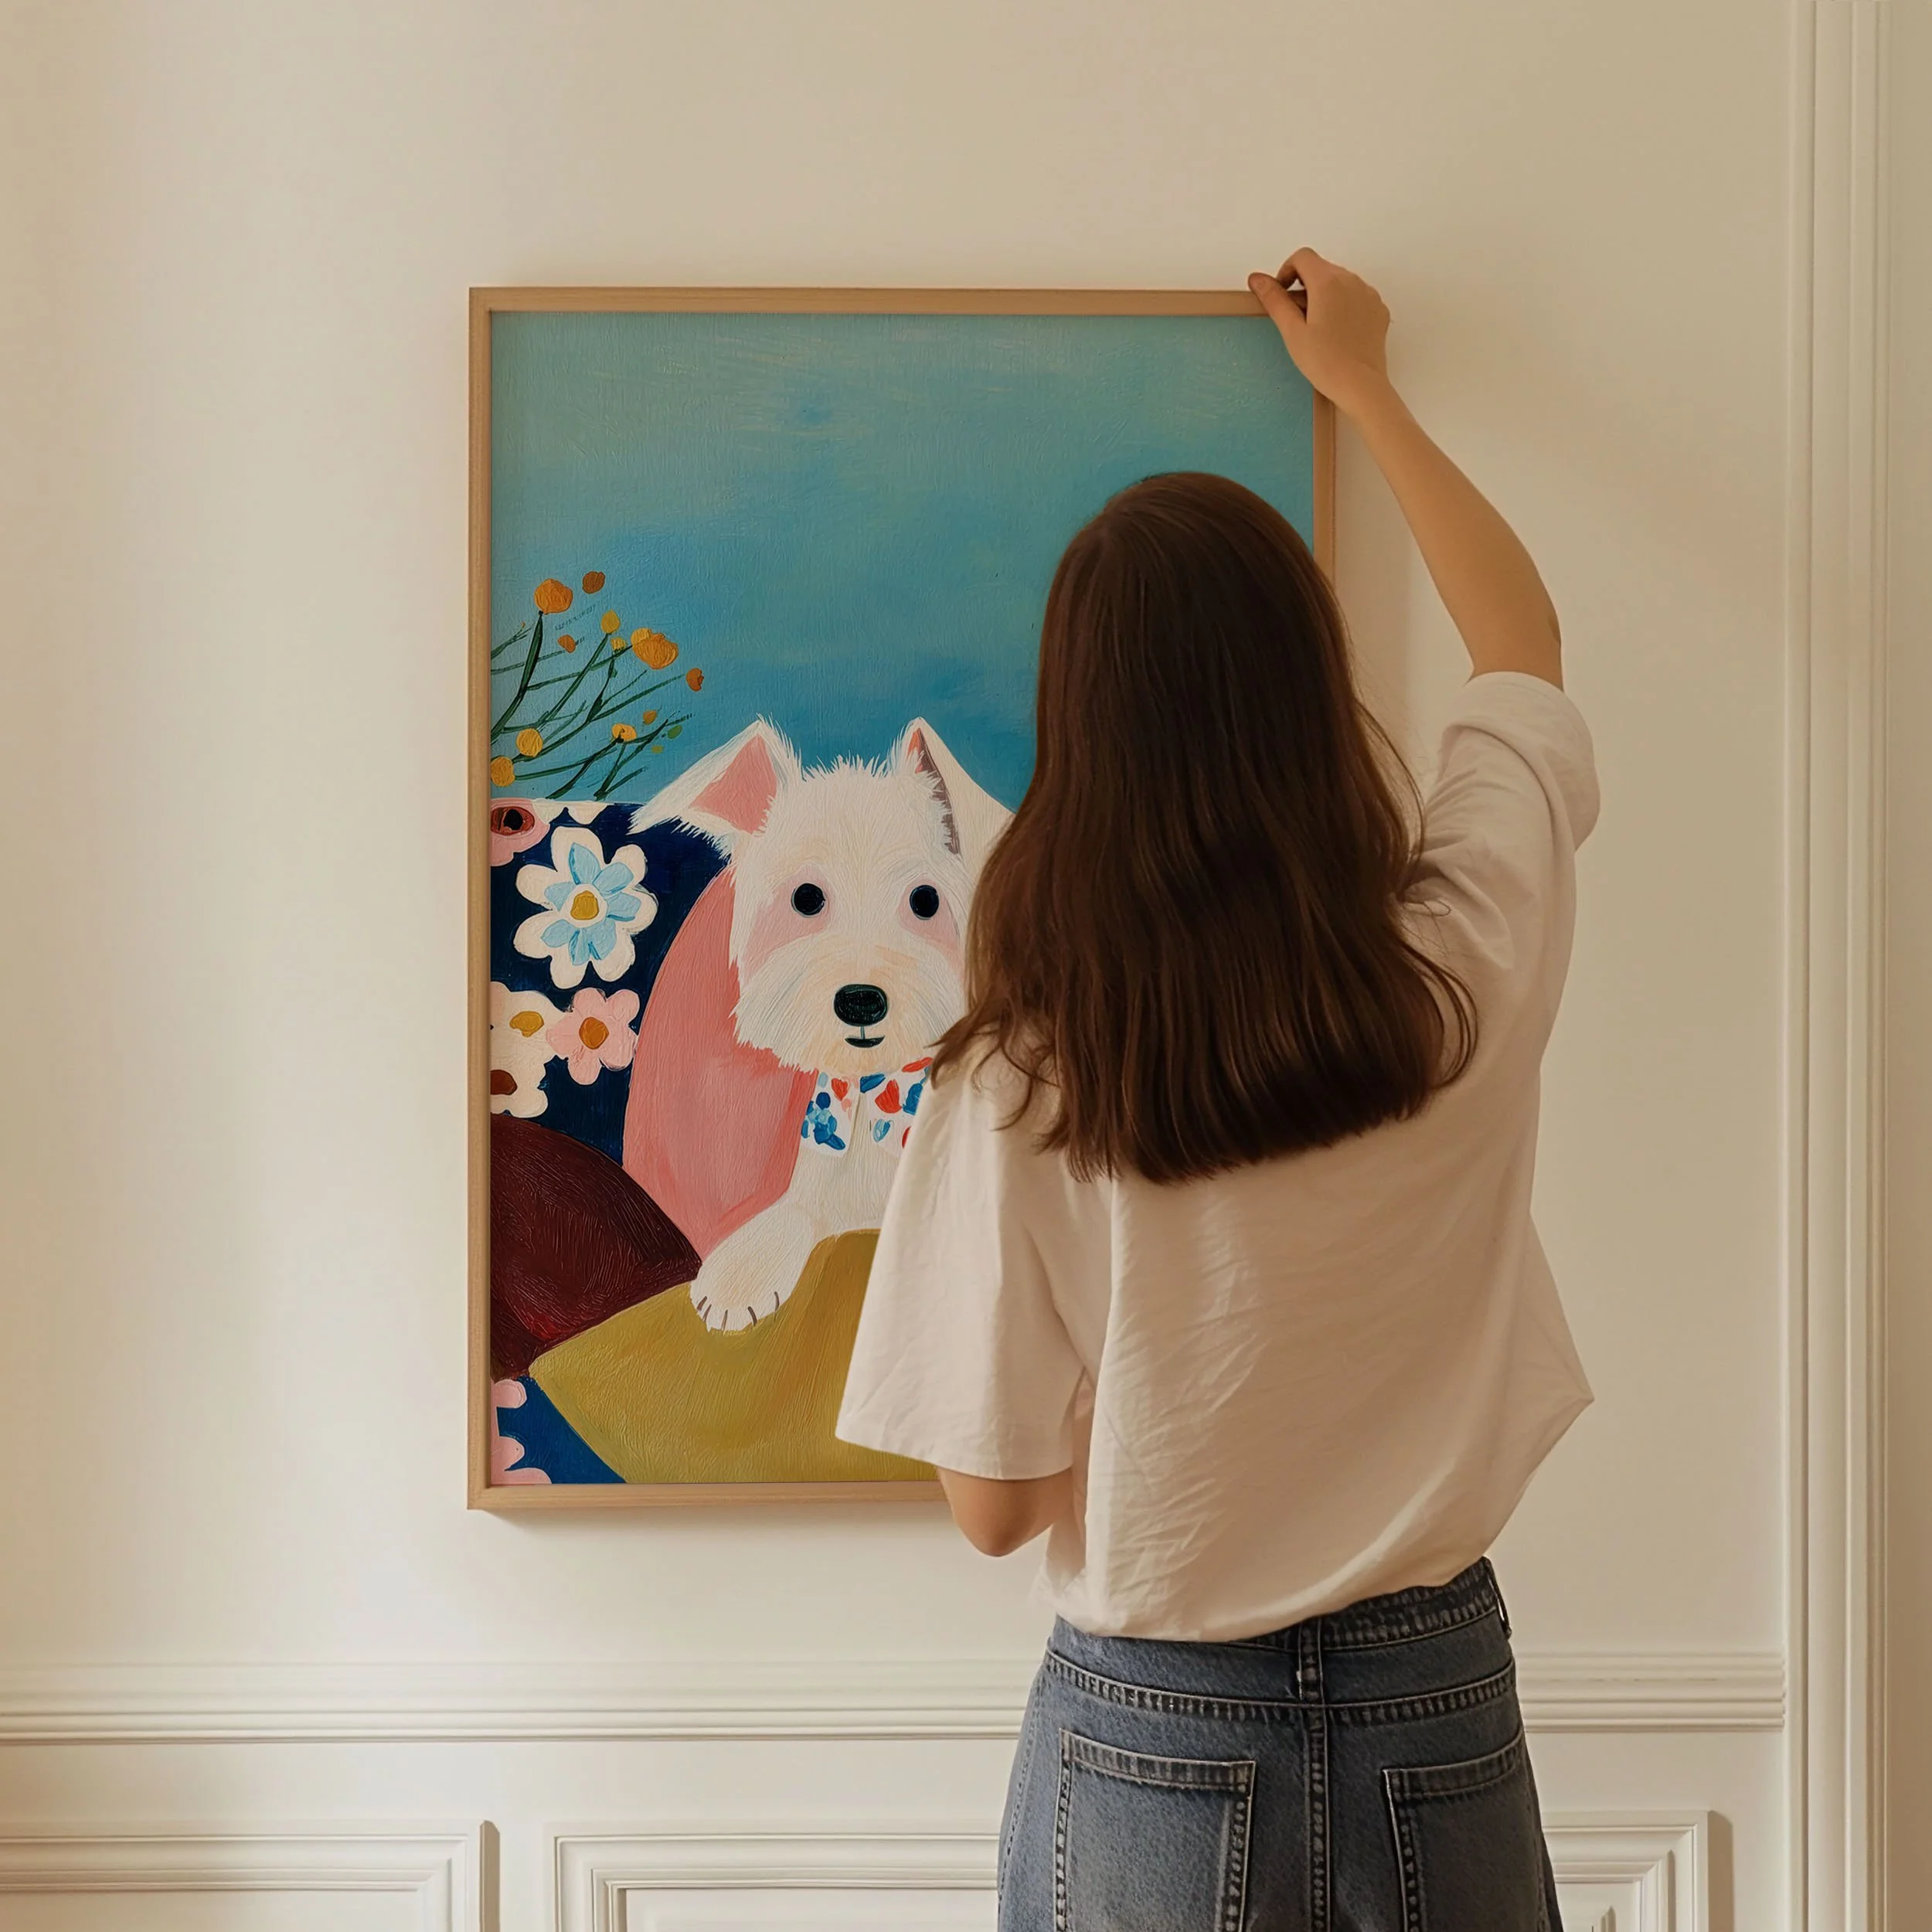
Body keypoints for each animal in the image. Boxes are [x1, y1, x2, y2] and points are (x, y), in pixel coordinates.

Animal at [632, 717, 1007, 1331]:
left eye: (926, 900)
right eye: (806, 898)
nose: (861, 1001)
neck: (880, 1097)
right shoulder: (818, 1194)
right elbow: (789, 1215)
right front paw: (738, 1277)